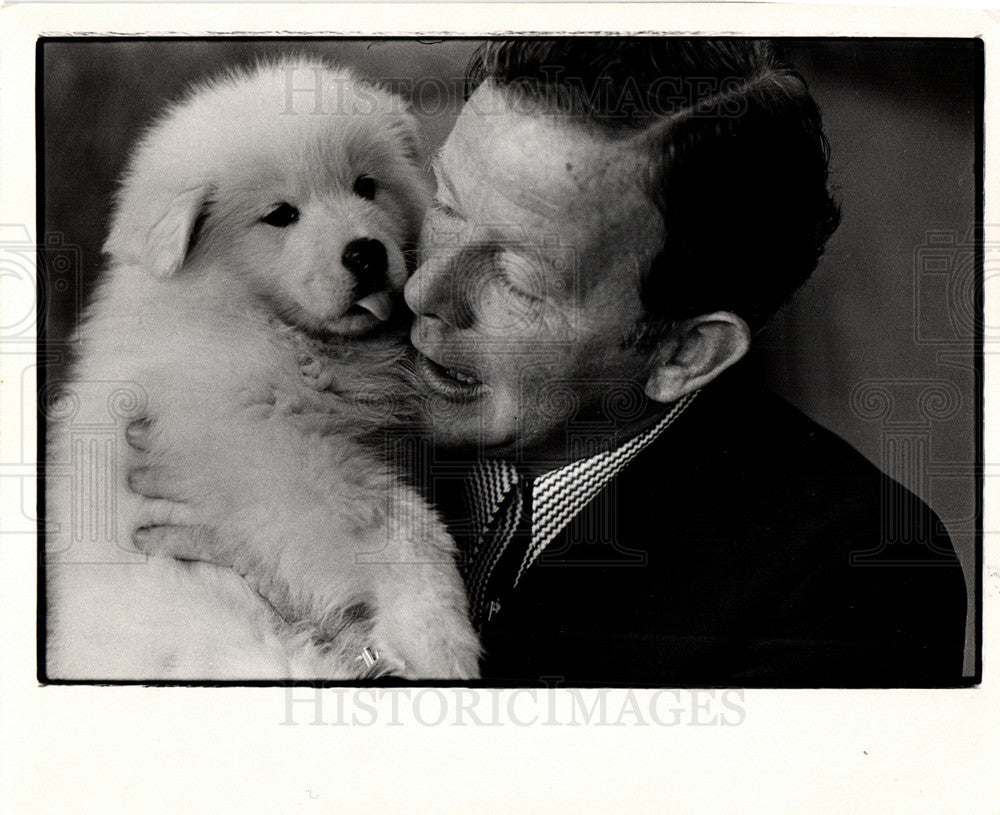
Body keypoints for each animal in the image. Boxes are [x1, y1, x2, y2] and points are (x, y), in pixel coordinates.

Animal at [47, 59, 480, 684]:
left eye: (366, 186)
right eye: (280, 216)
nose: (366, 253)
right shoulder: (263, 448)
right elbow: (395, 522)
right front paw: (439, 637)